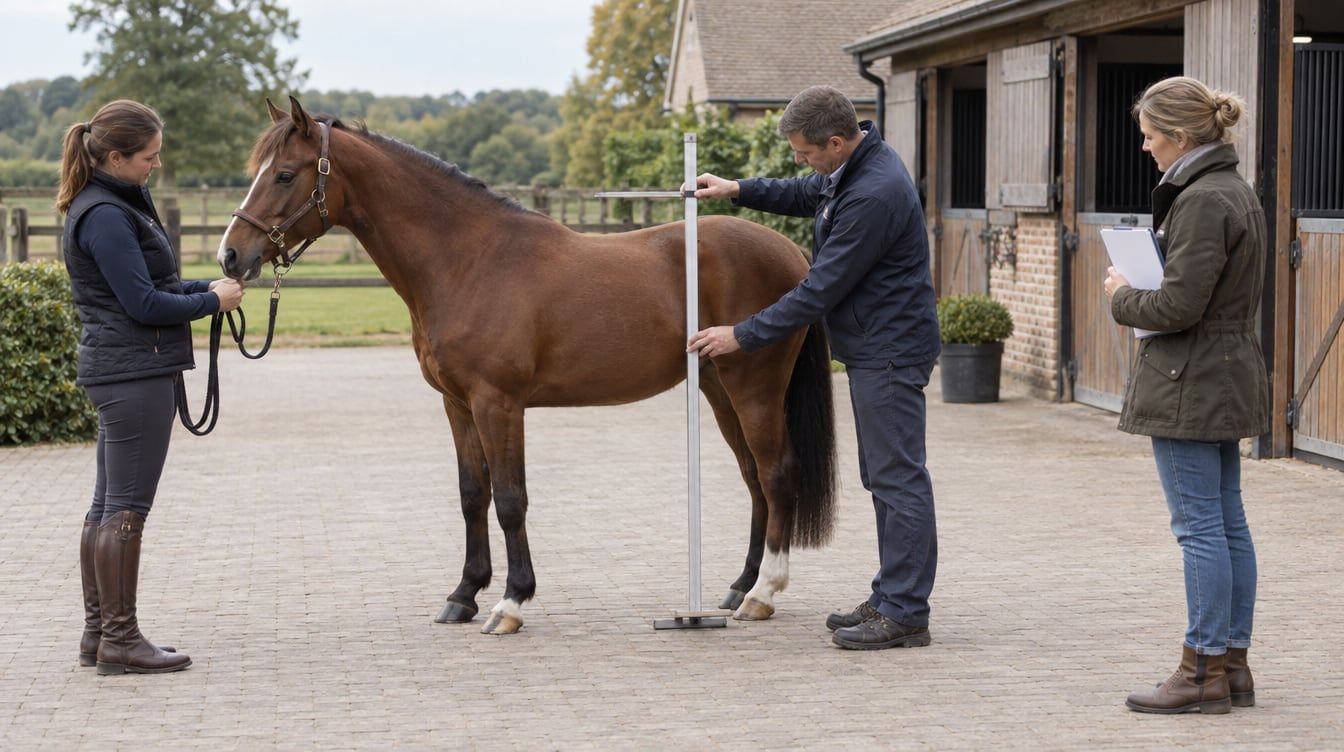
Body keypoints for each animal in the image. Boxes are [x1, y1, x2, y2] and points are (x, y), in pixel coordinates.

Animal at [219, 97, 837, 635]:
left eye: (285, 175)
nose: (230, 255)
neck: (468, 260)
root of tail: (791, 252)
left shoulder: (499, 403)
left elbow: (511, 499)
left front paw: (511, 602)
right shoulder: (457, 403)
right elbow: (473, 495)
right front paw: (463, 595)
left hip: (753, 388)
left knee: (776, 473)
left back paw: (762, 594)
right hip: (717, 389)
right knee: (754, 479)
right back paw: (739, 587)